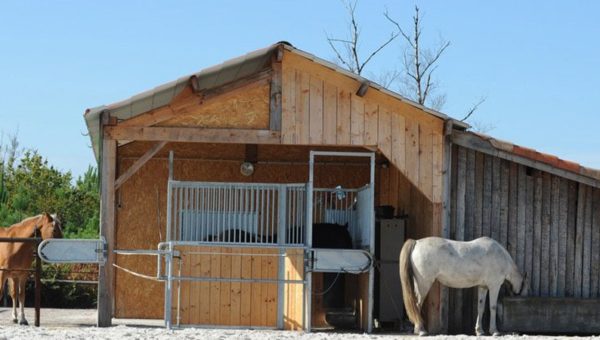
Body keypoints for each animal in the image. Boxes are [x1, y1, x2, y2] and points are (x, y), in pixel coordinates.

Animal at [400, 238, 528, 336]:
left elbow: (480, 308)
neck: (501, 257)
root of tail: (417, 242)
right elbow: (493, 307)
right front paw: (494, 331)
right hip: (424, 284)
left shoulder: (483, 287)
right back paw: (421, 331)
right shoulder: (494, 286)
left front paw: (480, 331)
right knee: (417, 305)